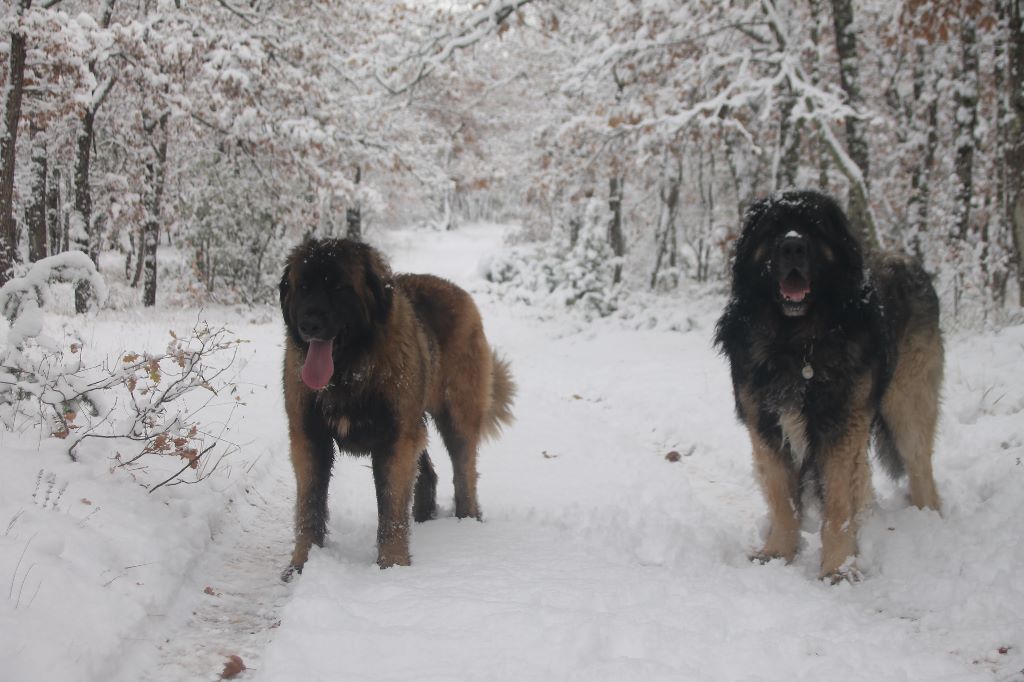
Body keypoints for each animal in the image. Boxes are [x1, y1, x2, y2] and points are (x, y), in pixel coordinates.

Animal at [280, 237, 516, 573]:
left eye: (339, 287)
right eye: (304, 287)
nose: (309, 324)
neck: (350, 371)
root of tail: (456, 291)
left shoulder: (395, 439)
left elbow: (391, 510)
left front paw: (391, 568)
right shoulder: (309, 437)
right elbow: (309, 507)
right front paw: (302, 566)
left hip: (455, 418)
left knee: (464, 474)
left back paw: (466, 524)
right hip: (416, 421)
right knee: (428, 474)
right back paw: (424, 520)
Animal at [716, 189, 937, 577]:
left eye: (815, 229)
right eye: (774, 229)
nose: (792, 247)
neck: (797, 340)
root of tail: (906, 259)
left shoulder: (842, 427)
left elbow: (838, 505)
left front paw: (838, 567)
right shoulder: (766, 426)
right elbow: (782, 498)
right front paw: (777, 552)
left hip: (908, 402)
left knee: (920, 466)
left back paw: (930, 523)